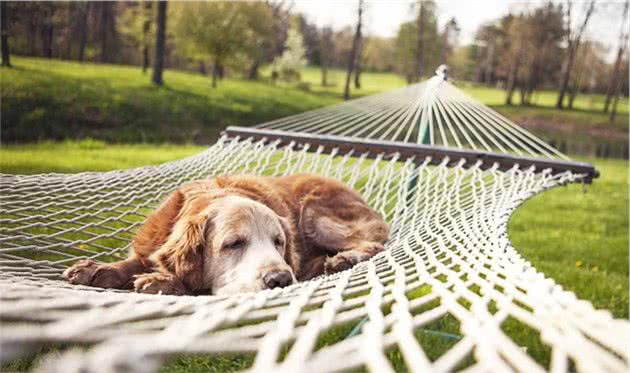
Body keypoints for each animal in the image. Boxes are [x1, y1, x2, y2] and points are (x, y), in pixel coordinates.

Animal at [63, 173, 390, 294]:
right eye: (233, 244)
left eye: (279, 242)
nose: (280, 279)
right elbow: (135, 260)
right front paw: (97, 269)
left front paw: (162, 281)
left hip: (315, 213)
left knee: (375, 245)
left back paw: (343, 259)